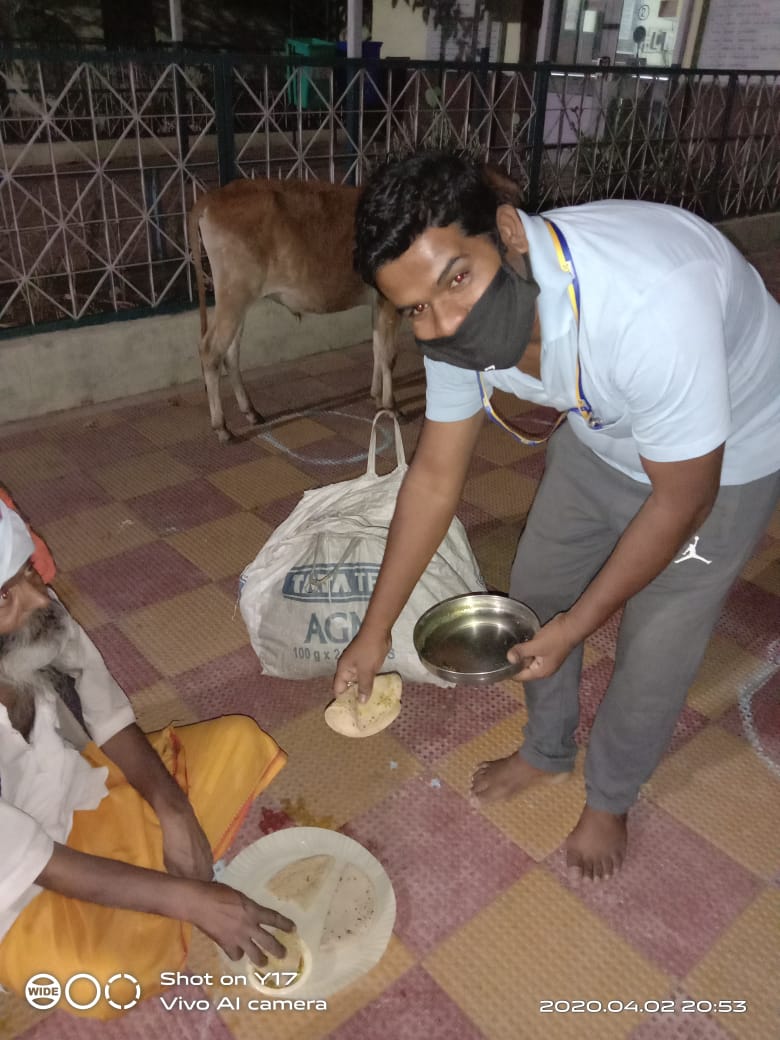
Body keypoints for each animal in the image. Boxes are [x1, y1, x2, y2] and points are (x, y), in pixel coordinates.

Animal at [187, 178, 399, 443]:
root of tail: (214, 196)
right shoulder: (389, 299)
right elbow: (389, 355)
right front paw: (391, 406)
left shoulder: (377, 302)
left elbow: (377, 349)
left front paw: (376, 396)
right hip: (235, 294)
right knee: (211, 351)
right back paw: (222, 427)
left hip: (237, 300)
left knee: (231, 353)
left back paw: (251, 412)